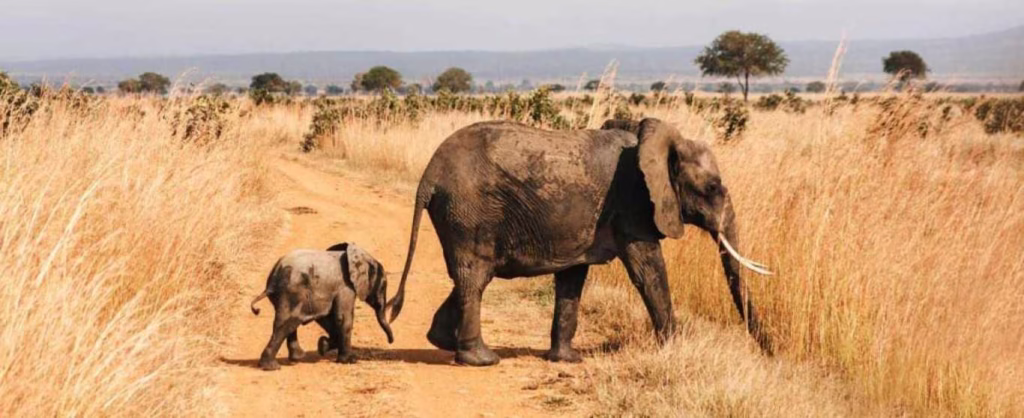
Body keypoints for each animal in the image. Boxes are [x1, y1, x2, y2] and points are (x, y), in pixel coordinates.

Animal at [250, 242, 393, 371]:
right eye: (383, 286)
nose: (390, 341)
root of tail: (273, 276)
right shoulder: (345, 287)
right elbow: (342, 318)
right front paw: (350, 360)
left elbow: (326, 317)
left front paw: (322, 346)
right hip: (293, 291)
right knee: (287, 322)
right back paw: (272, 367)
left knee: (291, 322)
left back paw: (298, 358)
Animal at [388, 117, 773, 366]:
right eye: (712, 188)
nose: (771, 353)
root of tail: (429, 176)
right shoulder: (633, 204)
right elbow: (647, 269)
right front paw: (676, 349)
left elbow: (573, 277)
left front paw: (568, 361)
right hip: (469, 212)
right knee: (476, 277)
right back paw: (481, 360)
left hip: (460, 214)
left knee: (469, 276)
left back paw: (441, 342)